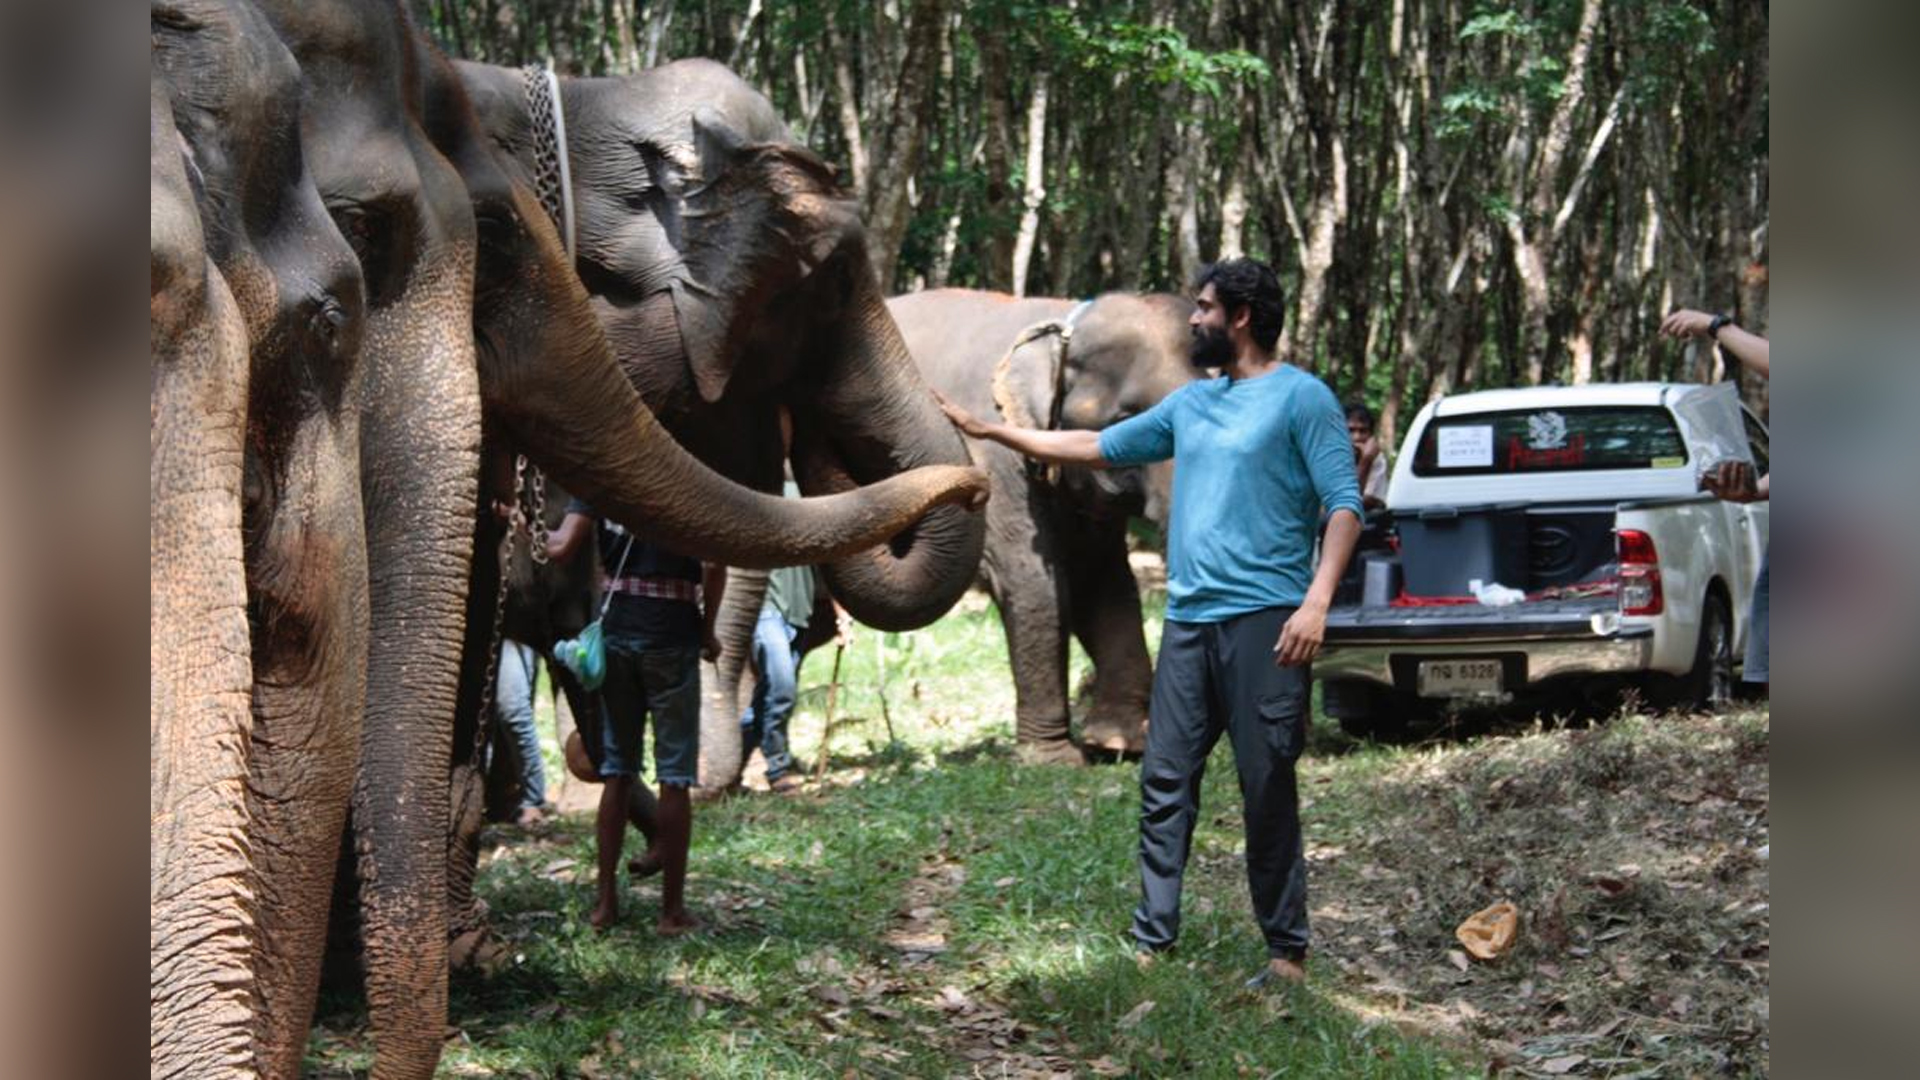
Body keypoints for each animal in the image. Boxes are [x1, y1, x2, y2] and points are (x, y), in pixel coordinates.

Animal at [890, 286, 1190, 757]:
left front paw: (1118, 743)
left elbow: (1104, 582)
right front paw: (1054, 758)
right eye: (1128, 420)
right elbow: (1033, 582)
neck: (1057, 323)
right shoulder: (990, 461)